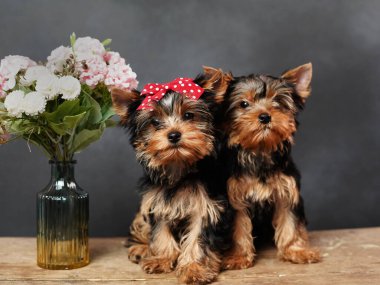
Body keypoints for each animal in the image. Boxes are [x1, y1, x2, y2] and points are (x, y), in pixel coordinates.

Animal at [111, 67, 233, 282]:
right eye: (154, 122)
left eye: (189, 115)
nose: (174, 134)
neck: (179, 167)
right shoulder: (157, 203)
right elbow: (161, 232)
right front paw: (161, 259)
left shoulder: (207, 207)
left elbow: (197, 239)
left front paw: (193, 268)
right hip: (142, 212)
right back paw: (141, 249)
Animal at [214, 62, 320, 268]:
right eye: (244, 104)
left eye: (277, 101)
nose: (265, 116)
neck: (260, 150)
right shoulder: (236, 196)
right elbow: (239, 227)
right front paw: (238, 256)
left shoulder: (287, 191)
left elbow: (290, 222)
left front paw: (296, 250)